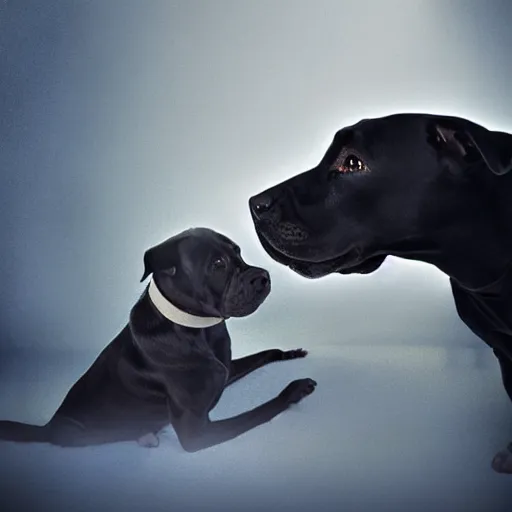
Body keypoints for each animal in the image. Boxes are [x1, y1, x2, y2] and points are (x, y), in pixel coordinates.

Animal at [0, 228, 316, 452]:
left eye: (238, 251)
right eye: (217, 263)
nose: (264, 276)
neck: (197, 329)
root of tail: (48, 426)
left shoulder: (224, 370)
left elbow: (264, 353)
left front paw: (290, 352)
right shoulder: (195, 433)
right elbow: (263, 409)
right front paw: (295, 389)